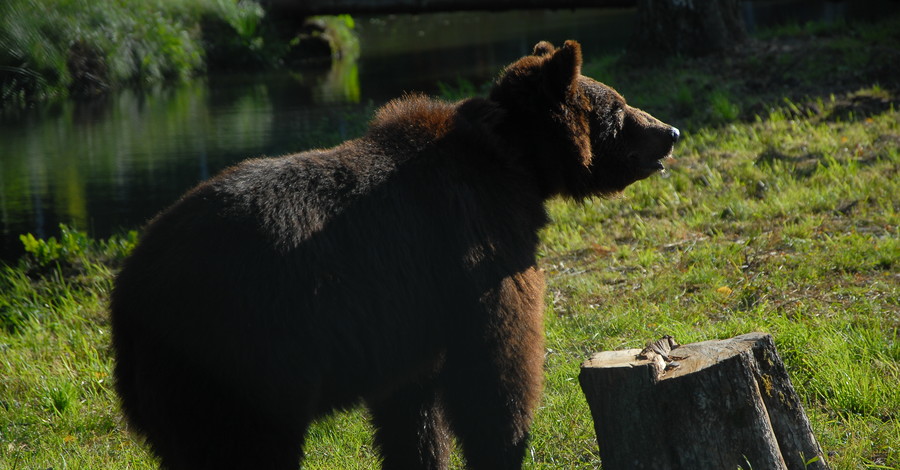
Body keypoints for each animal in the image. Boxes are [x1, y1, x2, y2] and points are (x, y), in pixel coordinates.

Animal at [110, 41, 676, 470]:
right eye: (619, 107)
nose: (668, 132)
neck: (516, 164)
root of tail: (129, 291)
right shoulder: (473, 252)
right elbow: (496, 370)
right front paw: (506, 448)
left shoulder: (409, 318)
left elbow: (412, 410)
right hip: (238, 357)